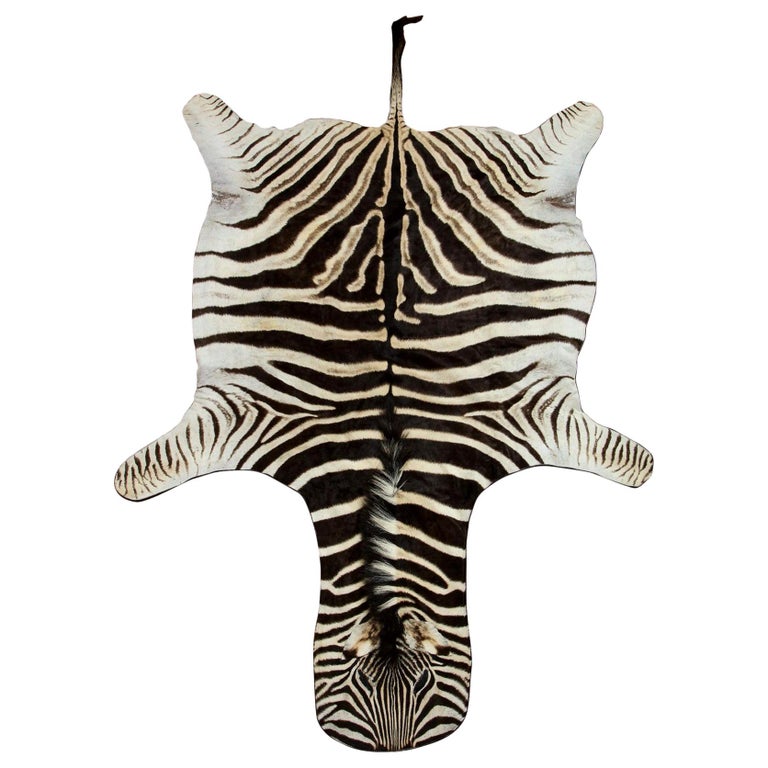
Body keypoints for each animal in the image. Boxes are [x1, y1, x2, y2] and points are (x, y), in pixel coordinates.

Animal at [115, 15, 652, 751]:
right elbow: (145, 472)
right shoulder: (238, 421)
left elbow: (629, 461)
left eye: (423, 702)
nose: (393, 752)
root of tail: (395, 133)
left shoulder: (540, 419)